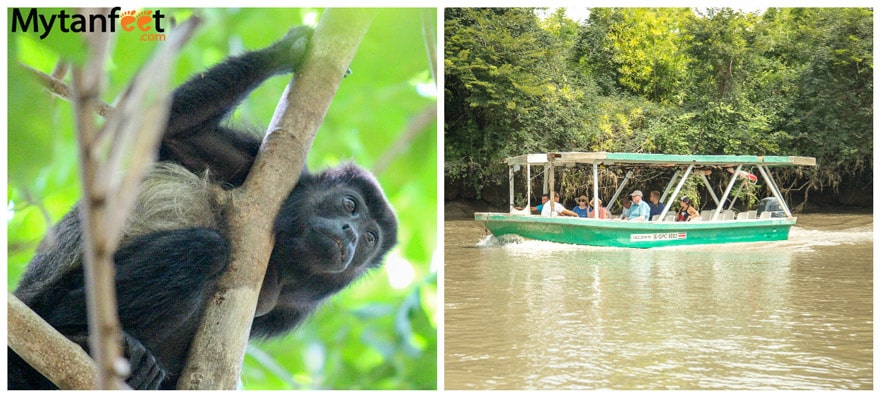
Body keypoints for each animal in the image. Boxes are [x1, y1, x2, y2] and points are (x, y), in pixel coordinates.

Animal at [6, 25, 398, 390]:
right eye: (349, 205)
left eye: (369, 239)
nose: (350, 235)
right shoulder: (244, 159)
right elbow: (172, 129)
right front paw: (288, 50)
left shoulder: (293, 310)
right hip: (46, 302)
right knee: (204, 248)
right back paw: (82, 337)